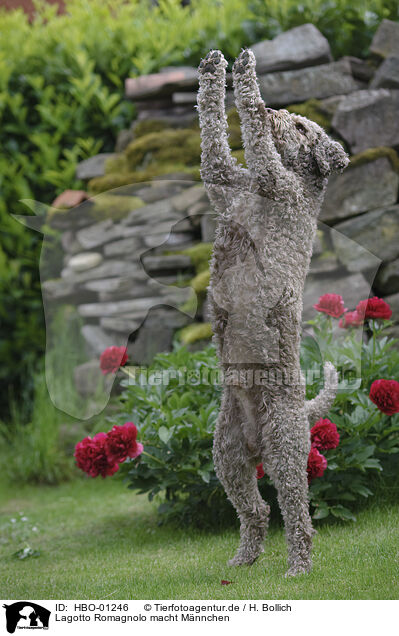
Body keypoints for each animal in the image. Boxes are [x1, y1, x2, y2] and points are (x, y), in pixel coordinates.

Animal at [198, 49, 350, 576]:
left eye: (303, 127)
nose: (277, 112)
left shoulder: (269, 176)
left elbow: (253, 140)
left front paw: (247, 78)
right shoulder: (225, 180)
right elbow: (213, 141)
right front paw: (213, 67)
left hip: (284, 451)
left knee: (297, 514)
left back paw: (298, 567)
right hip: (227, 456)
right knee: (257, 510)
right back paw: (243, 559)